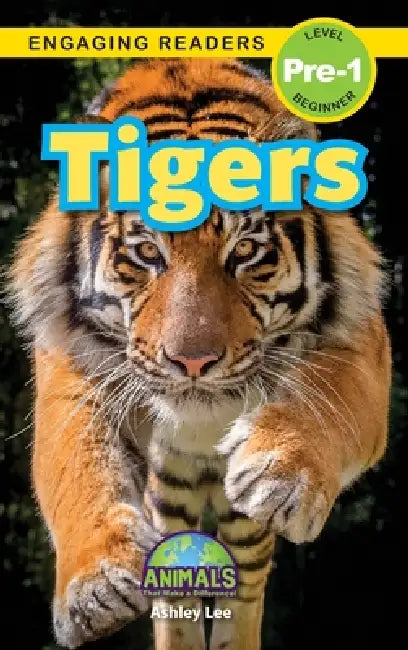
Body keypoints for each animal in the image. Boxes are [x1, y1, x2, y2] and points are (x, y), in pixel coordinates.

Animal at [9, 58, 391, 650]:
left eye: (245, 251)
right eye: (146, 252)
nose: (193, 362)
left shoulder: (362, 339)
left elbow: (333, 397)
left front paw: (282, 469)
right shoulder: (67, 360)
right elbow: (75, 462)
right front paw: (96, 584)